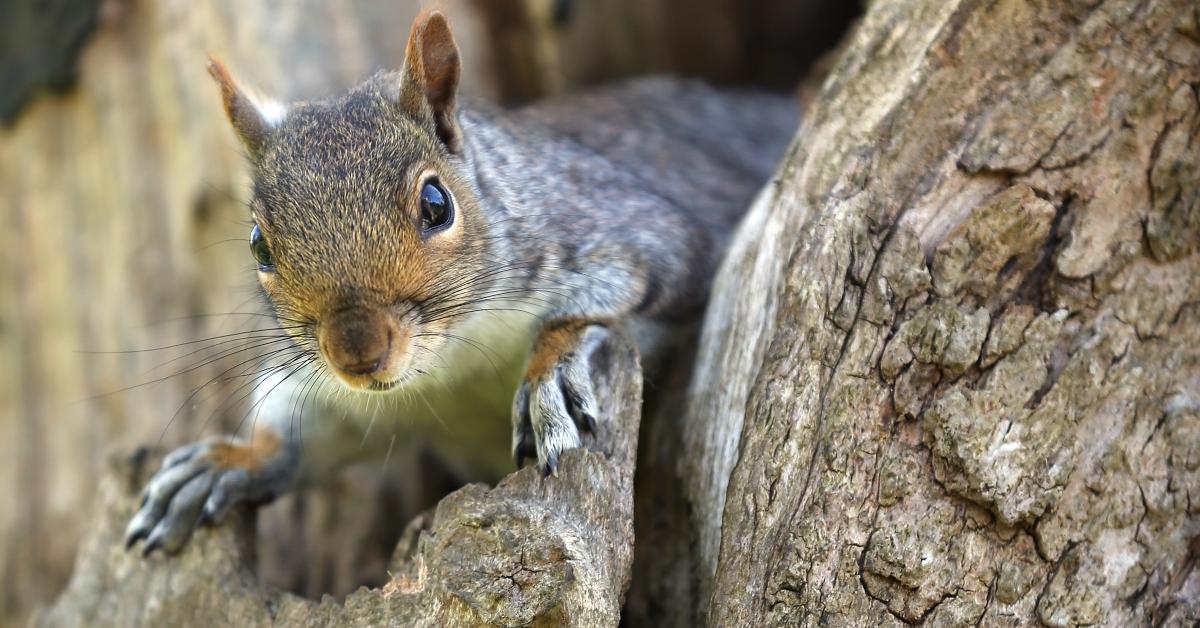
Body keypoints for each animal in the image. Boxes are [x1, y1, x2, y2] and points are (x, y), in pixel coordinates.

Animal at [124, 11, 796, 554]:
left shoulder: (632, 233)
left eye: (436, 203)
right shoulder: (344, 397)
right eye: (258, 244)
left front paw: (549, 373)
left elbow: (607, 297)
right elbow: (307, 432)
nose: (356, 353)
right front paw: (228, 461)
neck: (451, 363)